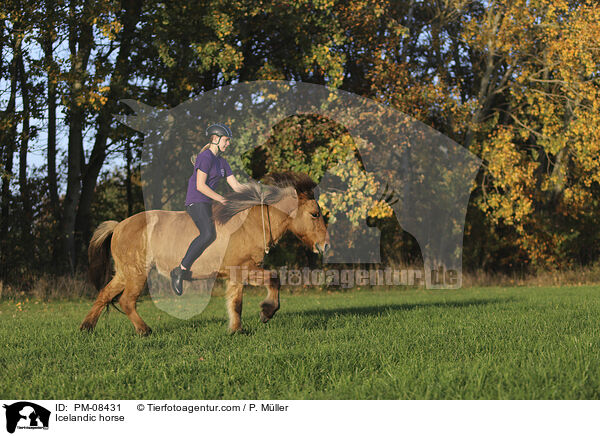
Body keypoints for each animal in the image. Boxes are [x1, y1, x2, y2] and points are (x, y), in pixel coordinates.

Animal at [79, 173, 328, 334]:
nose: (324, 245)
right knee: (127, 301)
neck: (250, 224)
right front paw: (267, 312)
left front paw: (236, 330)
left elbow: (235, 303)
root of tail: (118, 226)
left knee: (104, 295)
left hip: (124, 274)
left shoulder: (236, 275)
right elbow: (274, 280)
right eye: (315, 214)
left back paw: (86, 328)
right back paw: (144, 330)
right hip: (136, 273)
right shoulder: (245, 269)